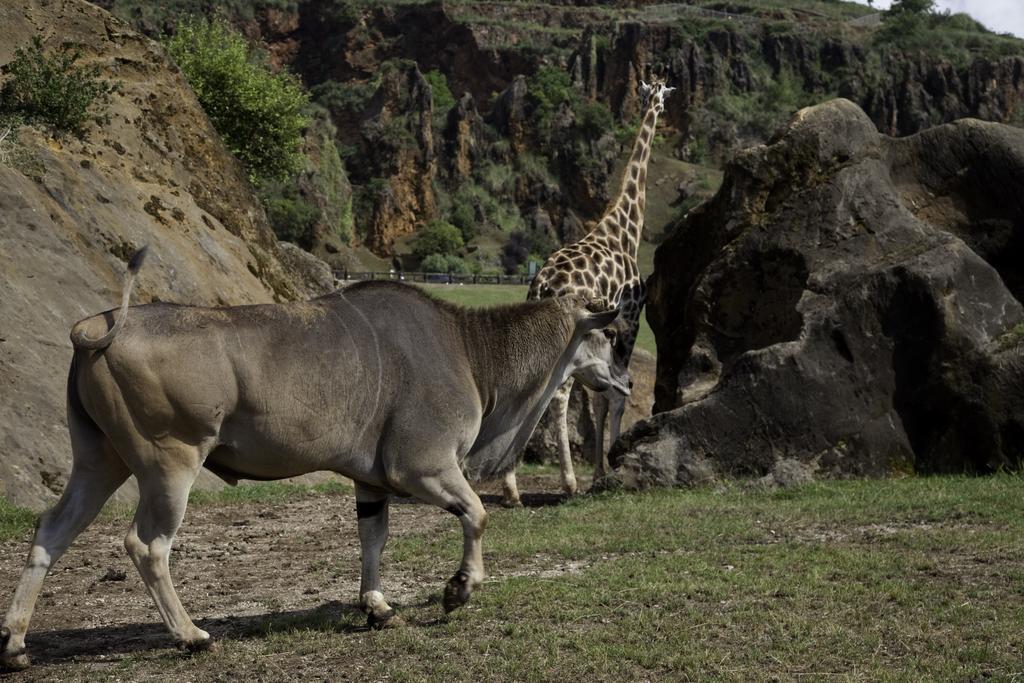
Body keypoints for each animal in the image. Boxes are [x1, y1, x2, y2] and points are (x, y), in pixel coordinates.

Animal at [501, 81, 675, 507]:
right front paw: (610, 465)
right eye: (664, 93)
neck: (624, 230)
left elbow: (599, 394)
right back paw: (567, 483)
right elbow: (616, 392)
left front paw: (602, 469)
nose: (661, 104)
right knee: (558, 395)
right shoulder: (628, 322)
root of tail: (542, 285)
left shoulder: (599, 335)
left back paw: (512, 488)